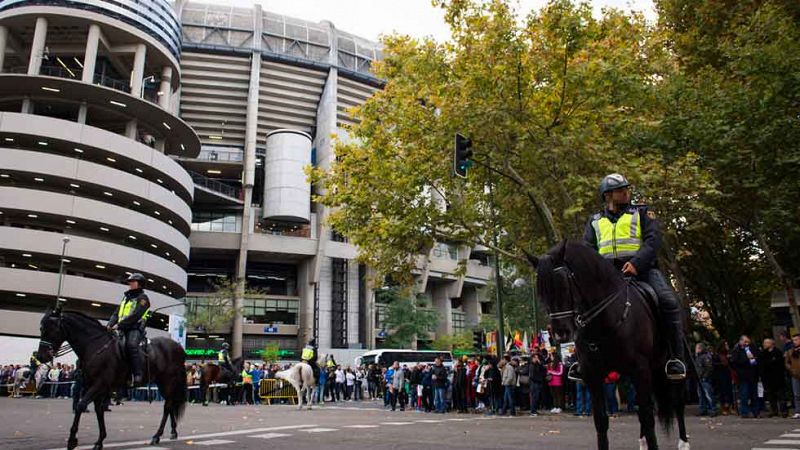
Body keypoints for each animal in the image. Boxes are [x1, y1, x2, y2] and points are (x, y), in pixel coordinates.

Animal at [38, 306, 189, 450]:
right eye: (41, 328)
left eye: (51, 329)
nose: (41, 356)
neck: (96, 346)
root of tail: (178, 347)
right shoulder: (94, 386)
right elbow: (98, 410)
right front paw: (99, 441)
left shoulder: (99, 385)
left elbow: (81, 406)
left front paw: (72, 440)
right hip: (162, 383)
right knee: (170, 405)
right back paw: (172, 432)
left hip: (168, 382)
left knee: (167, 406)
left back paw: (157, 435)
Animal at [532, 241, 688, 450]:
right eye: (541, 292)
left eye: (563, 284)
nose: (560, 332)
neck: (604, 322)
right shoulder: (593, 374)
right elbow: (601, 421)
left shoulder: (640, 369)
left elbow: (648, 418)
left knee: (677, 401)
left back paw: (683, 442)